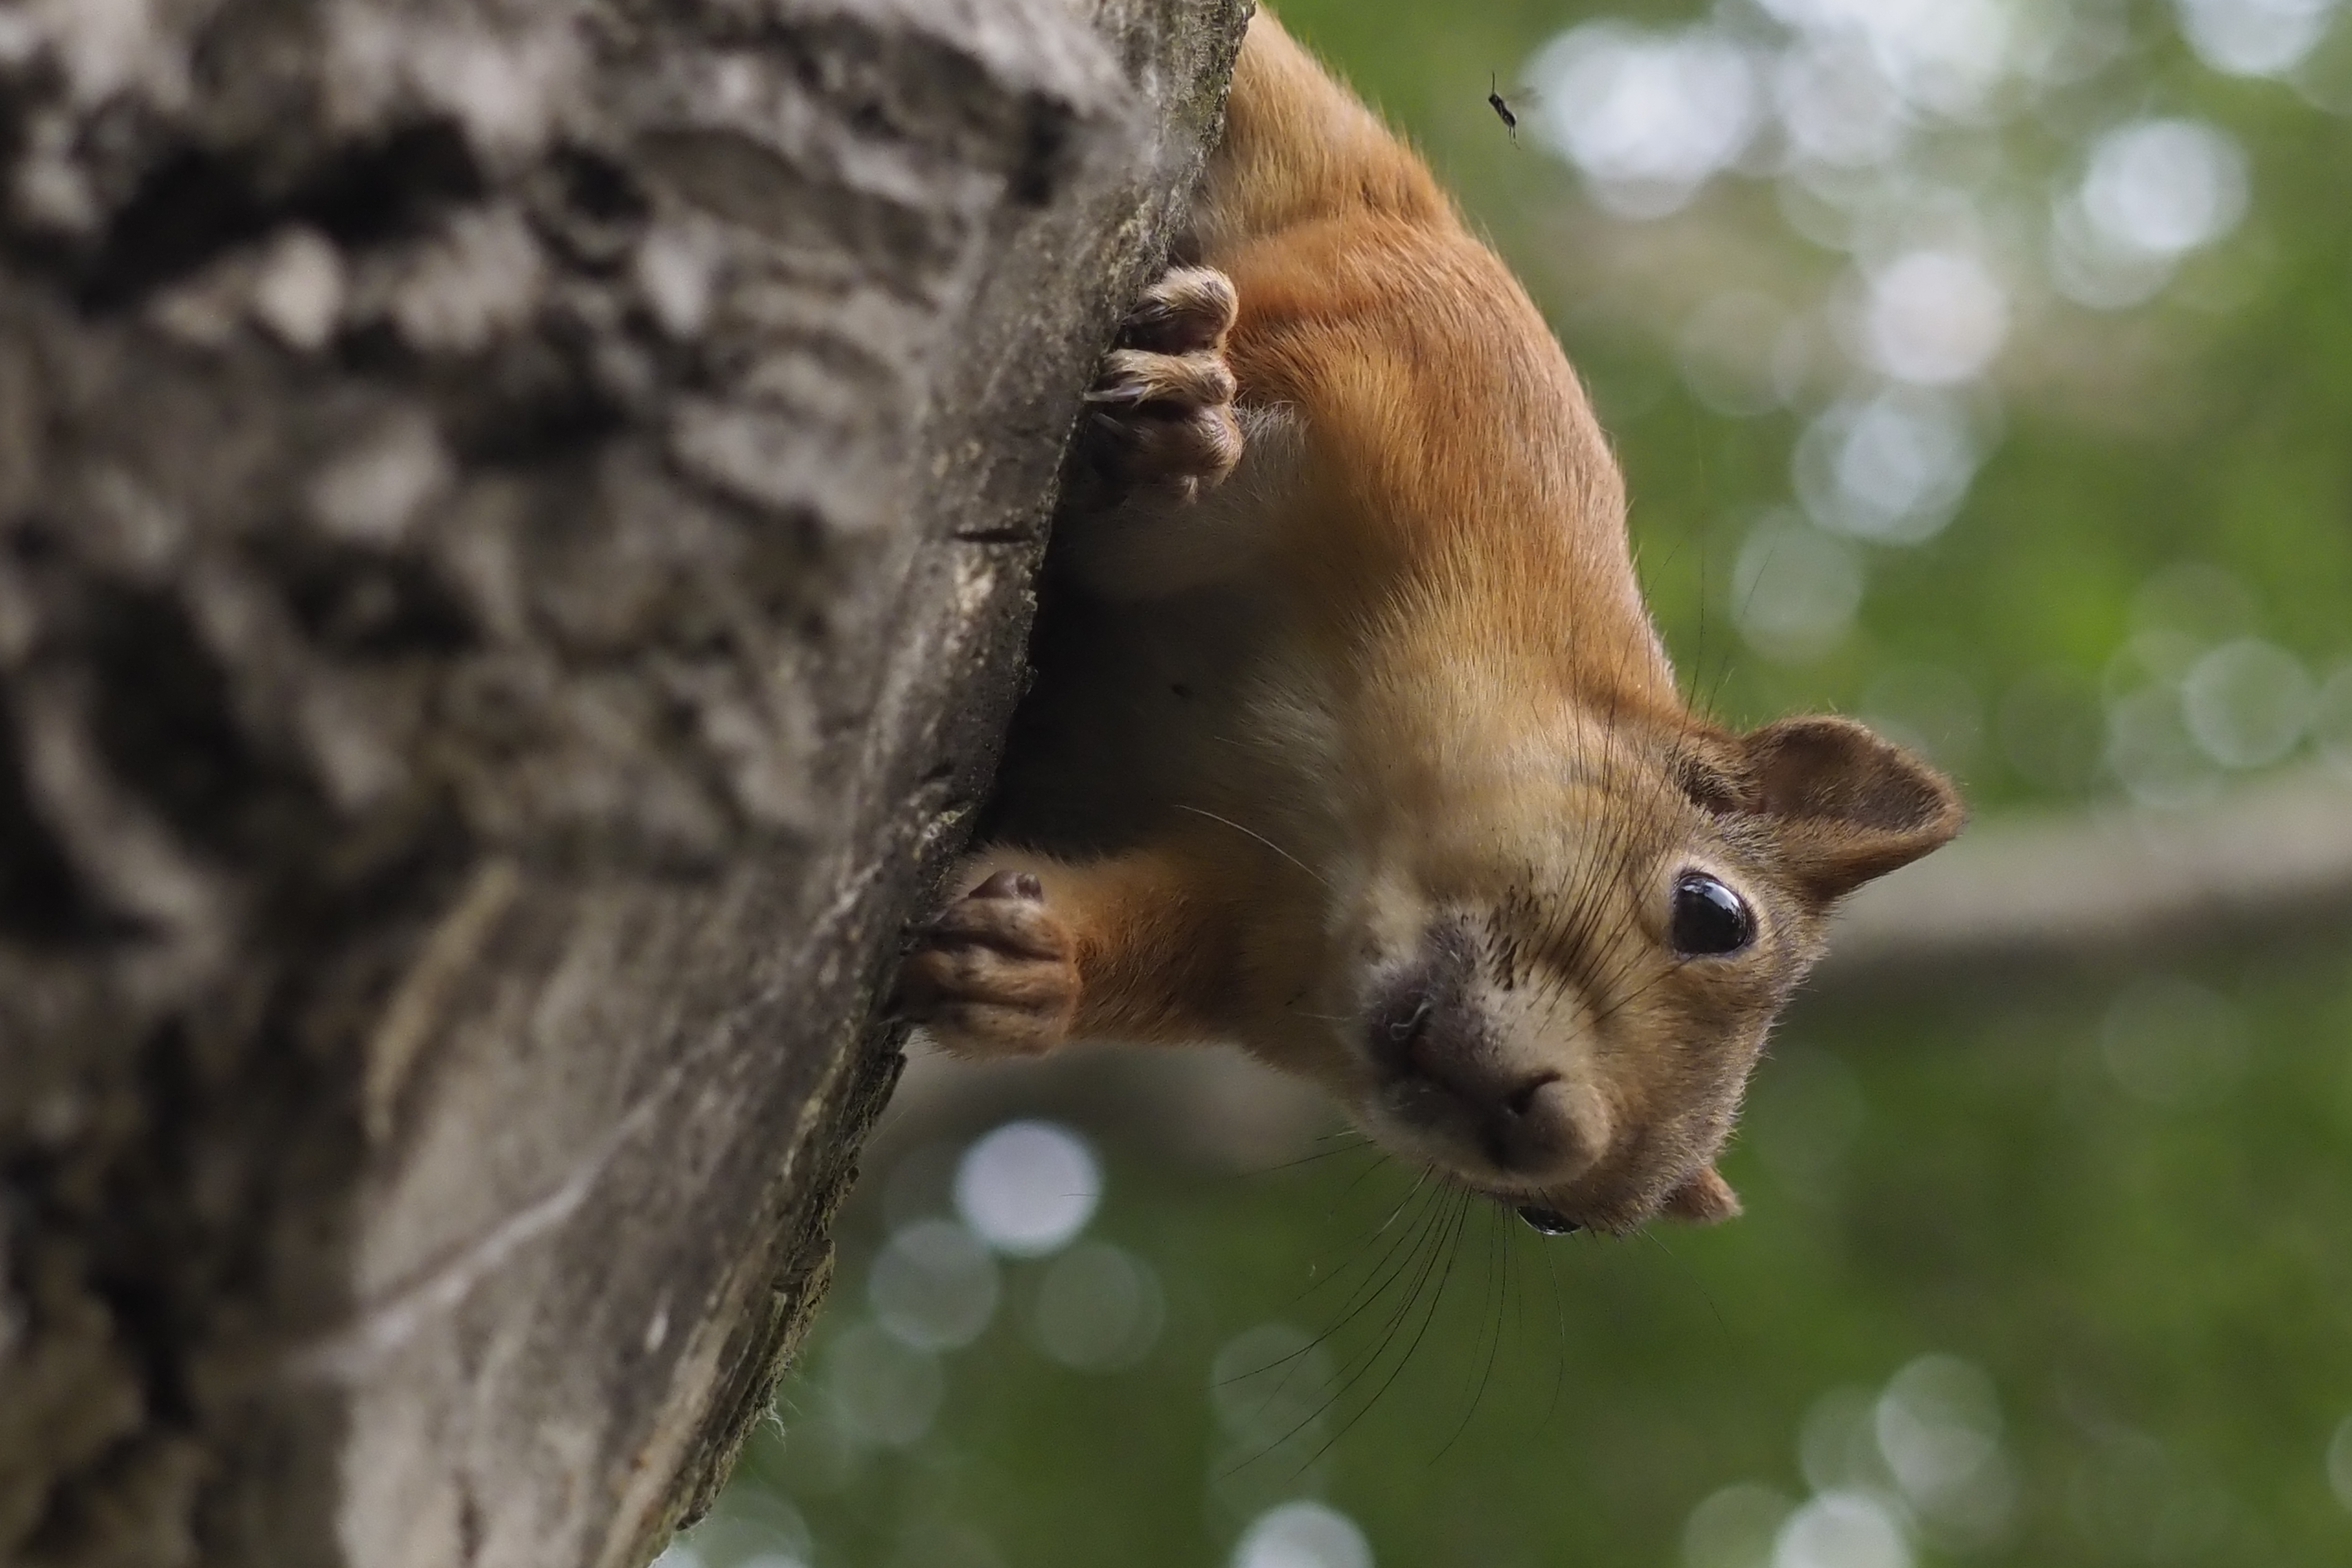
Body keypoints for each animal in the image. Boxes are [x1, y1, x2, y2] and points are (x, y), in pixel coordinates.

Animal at [889, 9, 1957, 1241]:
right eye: (1711, 911)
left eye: (1560, 1220)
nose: (1539, 1128)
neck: (1345, 793)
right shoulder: (1419, 345)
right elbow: (1268, 343)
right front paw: (1169, 430)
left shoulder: (1229, 912)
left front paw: (1031, 966)